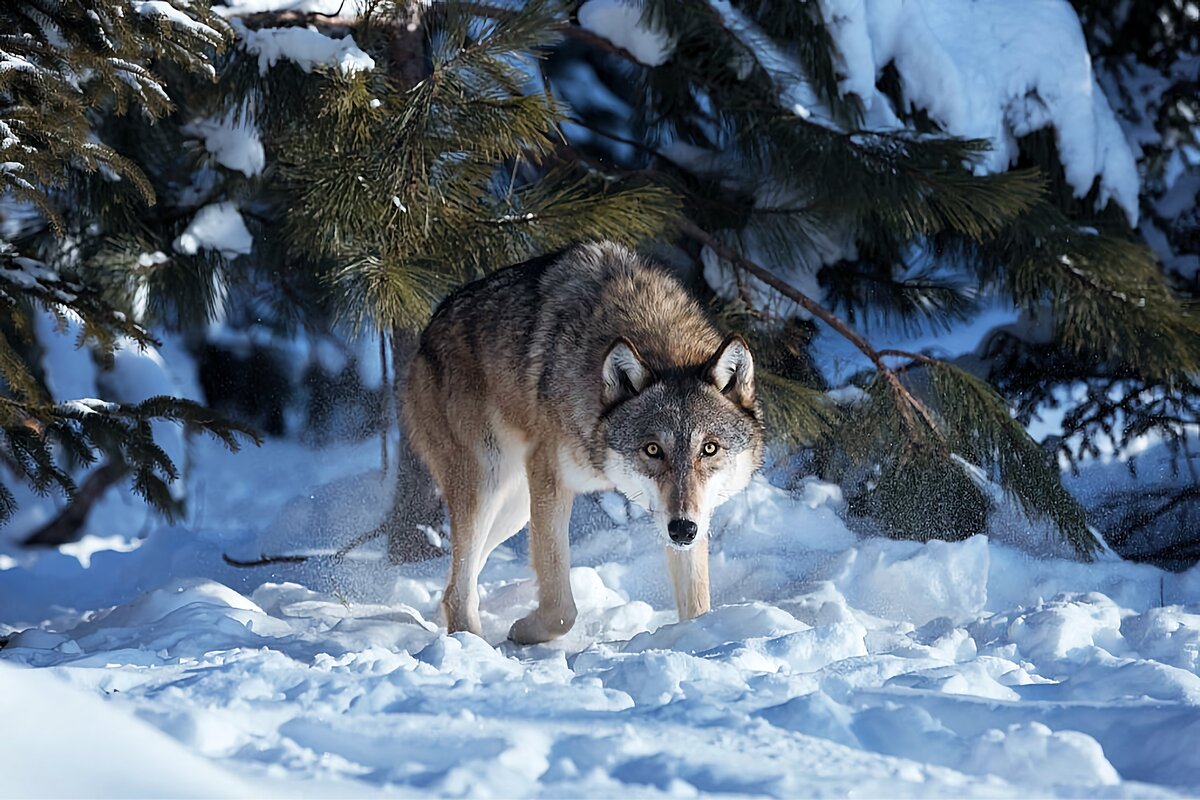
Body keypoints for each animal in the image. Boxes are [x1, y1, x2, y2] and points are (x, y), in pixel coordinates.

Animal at [400, 239, 758, 642]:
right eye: (653, 450)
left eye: (709, 449)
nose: (682, 529)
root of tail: (427, 331)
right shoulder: (551, 481)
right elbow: (560, 607)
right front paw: (524, 631)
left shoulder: (692, 515)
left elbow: (697, 604)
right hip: (486, 486)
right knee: (458, 585)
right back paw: (470, 643)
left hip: (515, 507)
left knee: (457, 580)